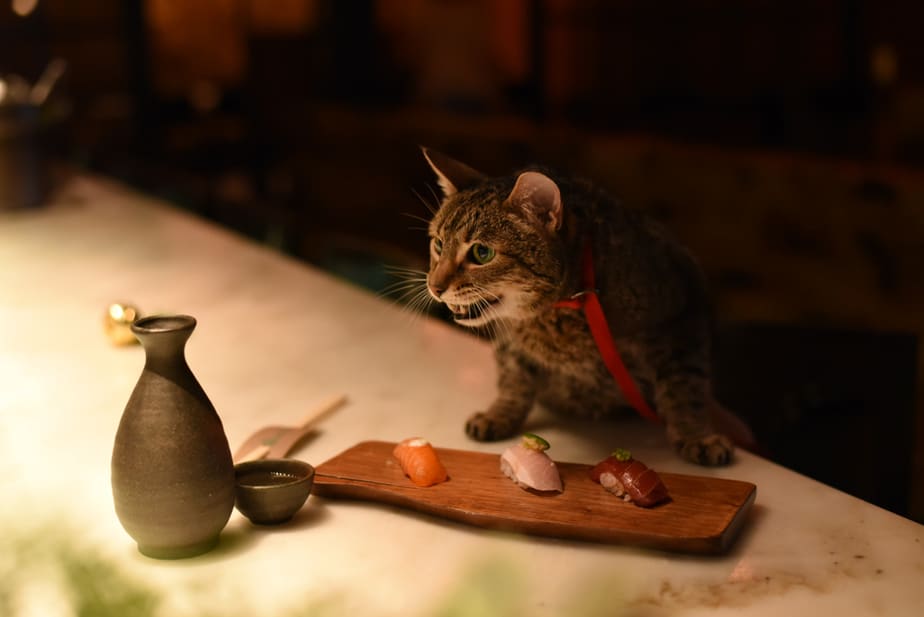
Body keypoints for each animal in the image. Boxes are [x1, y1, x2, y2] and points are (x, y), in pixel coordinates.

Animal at [422, 147, 740, 464]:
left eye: (481, 253)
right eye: (438, 244)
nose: (434, 287)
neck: (551, 314)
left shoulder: (684, 318)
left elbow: (685, 388)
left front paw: (695, 435)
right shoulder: (510, 341)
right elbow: (513, 378)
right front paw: (499, 414)